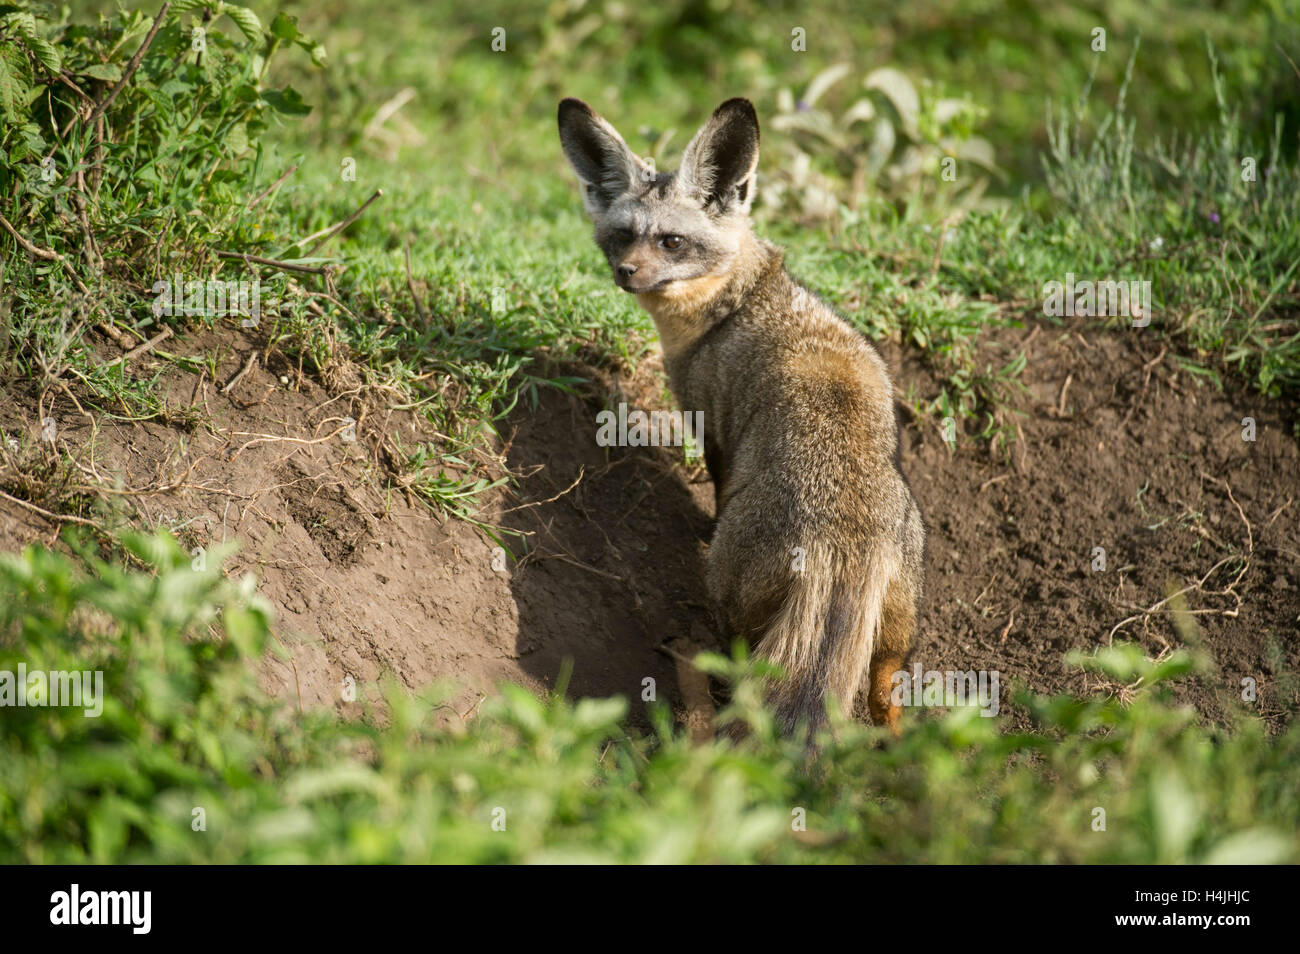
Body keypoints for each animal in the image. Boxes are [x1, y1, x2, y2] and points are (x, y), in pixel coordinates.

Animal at [558, 96, 925, 735]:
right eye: (623, 236)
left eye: (672, 242)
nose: (626, 272)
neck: (738, 303)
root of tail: (846, 541)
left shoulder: (710, 424)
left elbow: (716, 479)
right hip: (897, 636)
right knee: (884, 700)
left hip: (730, 592)